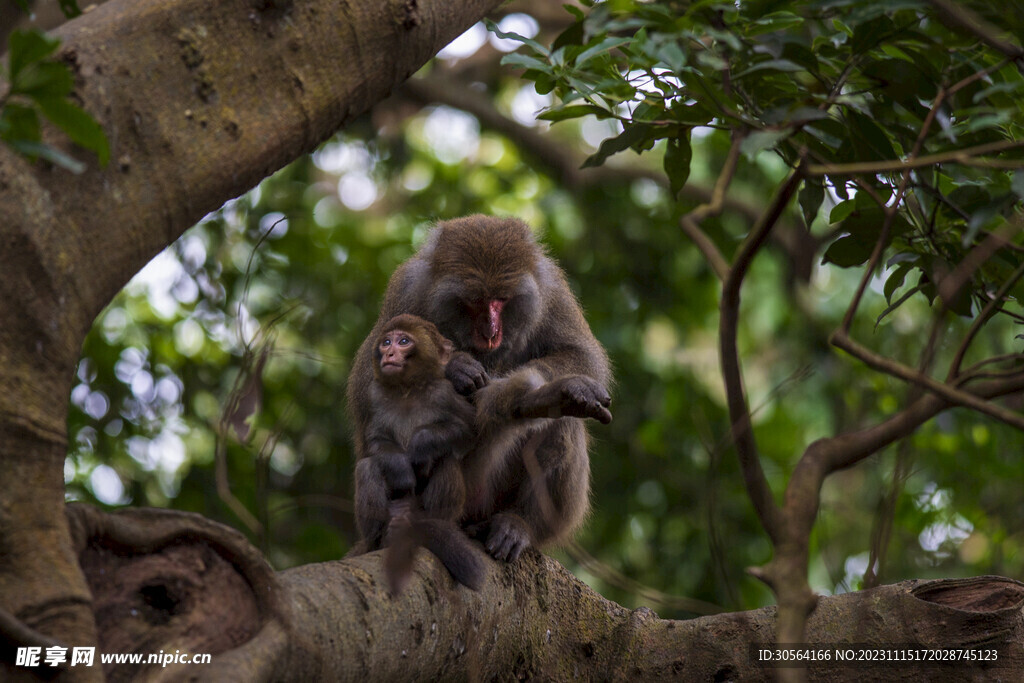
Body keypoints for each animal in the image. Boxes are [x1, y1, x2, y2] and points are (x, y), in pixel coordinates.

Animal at [354, 313, 485, 589]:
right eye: (386, 342)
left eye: (403, 341)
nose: (389, 353)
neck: (407, 389)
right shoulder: (374, 396)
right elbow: (375, 440)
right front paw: (401, 469)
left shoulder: (445, 391)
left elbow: (468, 428)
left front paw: (421, 445)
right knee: (367, 467)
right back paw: (383, 535)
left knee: (447, 459)